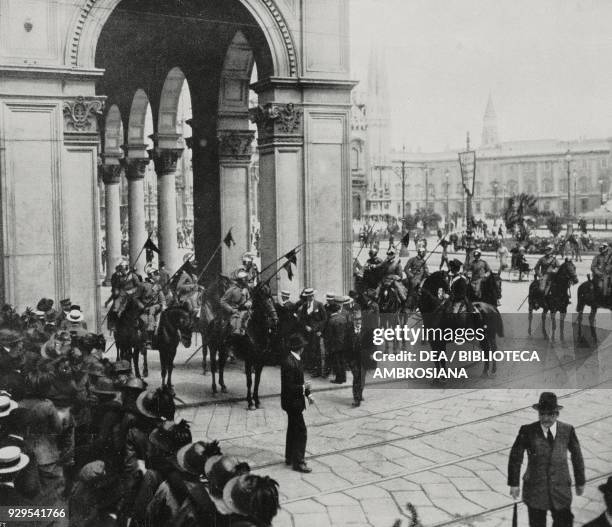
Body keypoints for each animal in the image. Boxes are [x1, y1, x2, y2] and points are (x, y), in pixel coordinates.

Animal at [226, 282, 278, 410]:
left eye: (271, 298)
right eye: (263, 299)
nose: (275, 319)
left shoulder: (261, 360)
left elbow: (257, 381)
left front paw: (257, 401)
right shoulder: (248, 360)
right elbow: (249, 381)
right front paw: (250, 403)